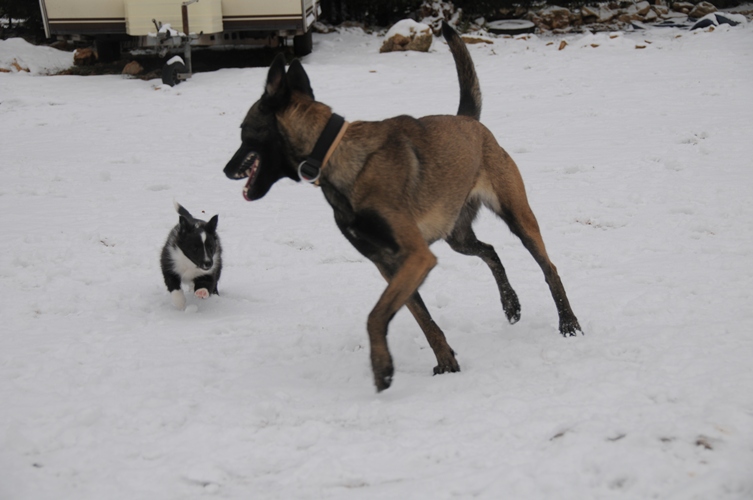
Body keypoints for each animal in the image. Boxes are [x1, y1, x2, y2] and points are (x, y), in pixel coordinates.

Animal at [223, 22, 580, 390]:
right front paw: (446, 362)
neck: (335, 152)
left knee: (549, 268)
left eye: (244, 131)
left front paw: (381, 368)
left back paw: (568, 322)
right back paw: (511, 304)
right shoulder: (391, 264)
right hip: (458, 237)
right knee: (491, 252)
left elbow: (376, 315)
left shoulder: (416, 257)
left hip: (518, 218)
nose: (225, 170)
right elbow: (423, 319)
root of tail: (468, 120)